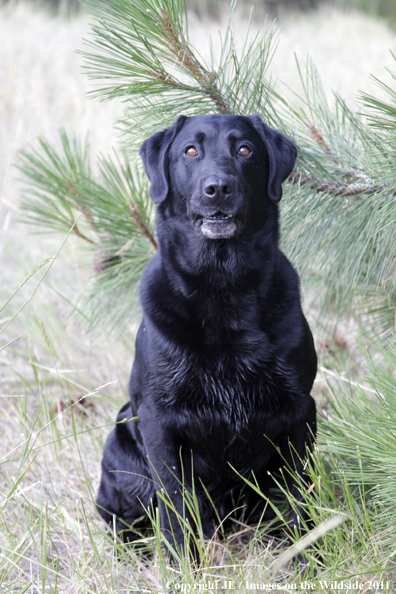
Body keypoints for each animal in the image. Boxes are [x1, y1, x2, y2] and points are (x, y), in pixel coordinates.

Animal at [97, 112, 318, 560]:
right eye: (190, 151)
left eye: (245, 150)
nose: (217, 187)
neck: (222, 286)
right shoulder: (158, 419)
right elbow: (175, 503)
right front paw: (182, 565)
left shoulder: (301, 409)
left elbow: (298, 494)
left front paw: (308, 557)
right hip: (120, 441)